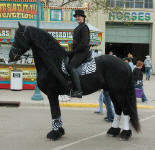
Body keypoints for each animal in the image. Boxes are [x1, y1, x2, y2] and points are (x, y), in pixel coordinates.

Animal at [9, 22, 141, 141]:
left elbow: (54, 112)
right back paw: (113, 131)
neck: (53, 62)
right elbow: (57, 112)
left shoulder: (52, 93)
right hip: (113, 92)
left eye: (19, 37)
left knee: (126, 110)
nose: (11, 56)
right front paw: (60, 131)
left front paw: (54, 134)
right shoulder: (55, 94)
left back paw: (125, 134)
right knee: (118, 109)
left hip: (119, 92)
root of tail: (124, 63)